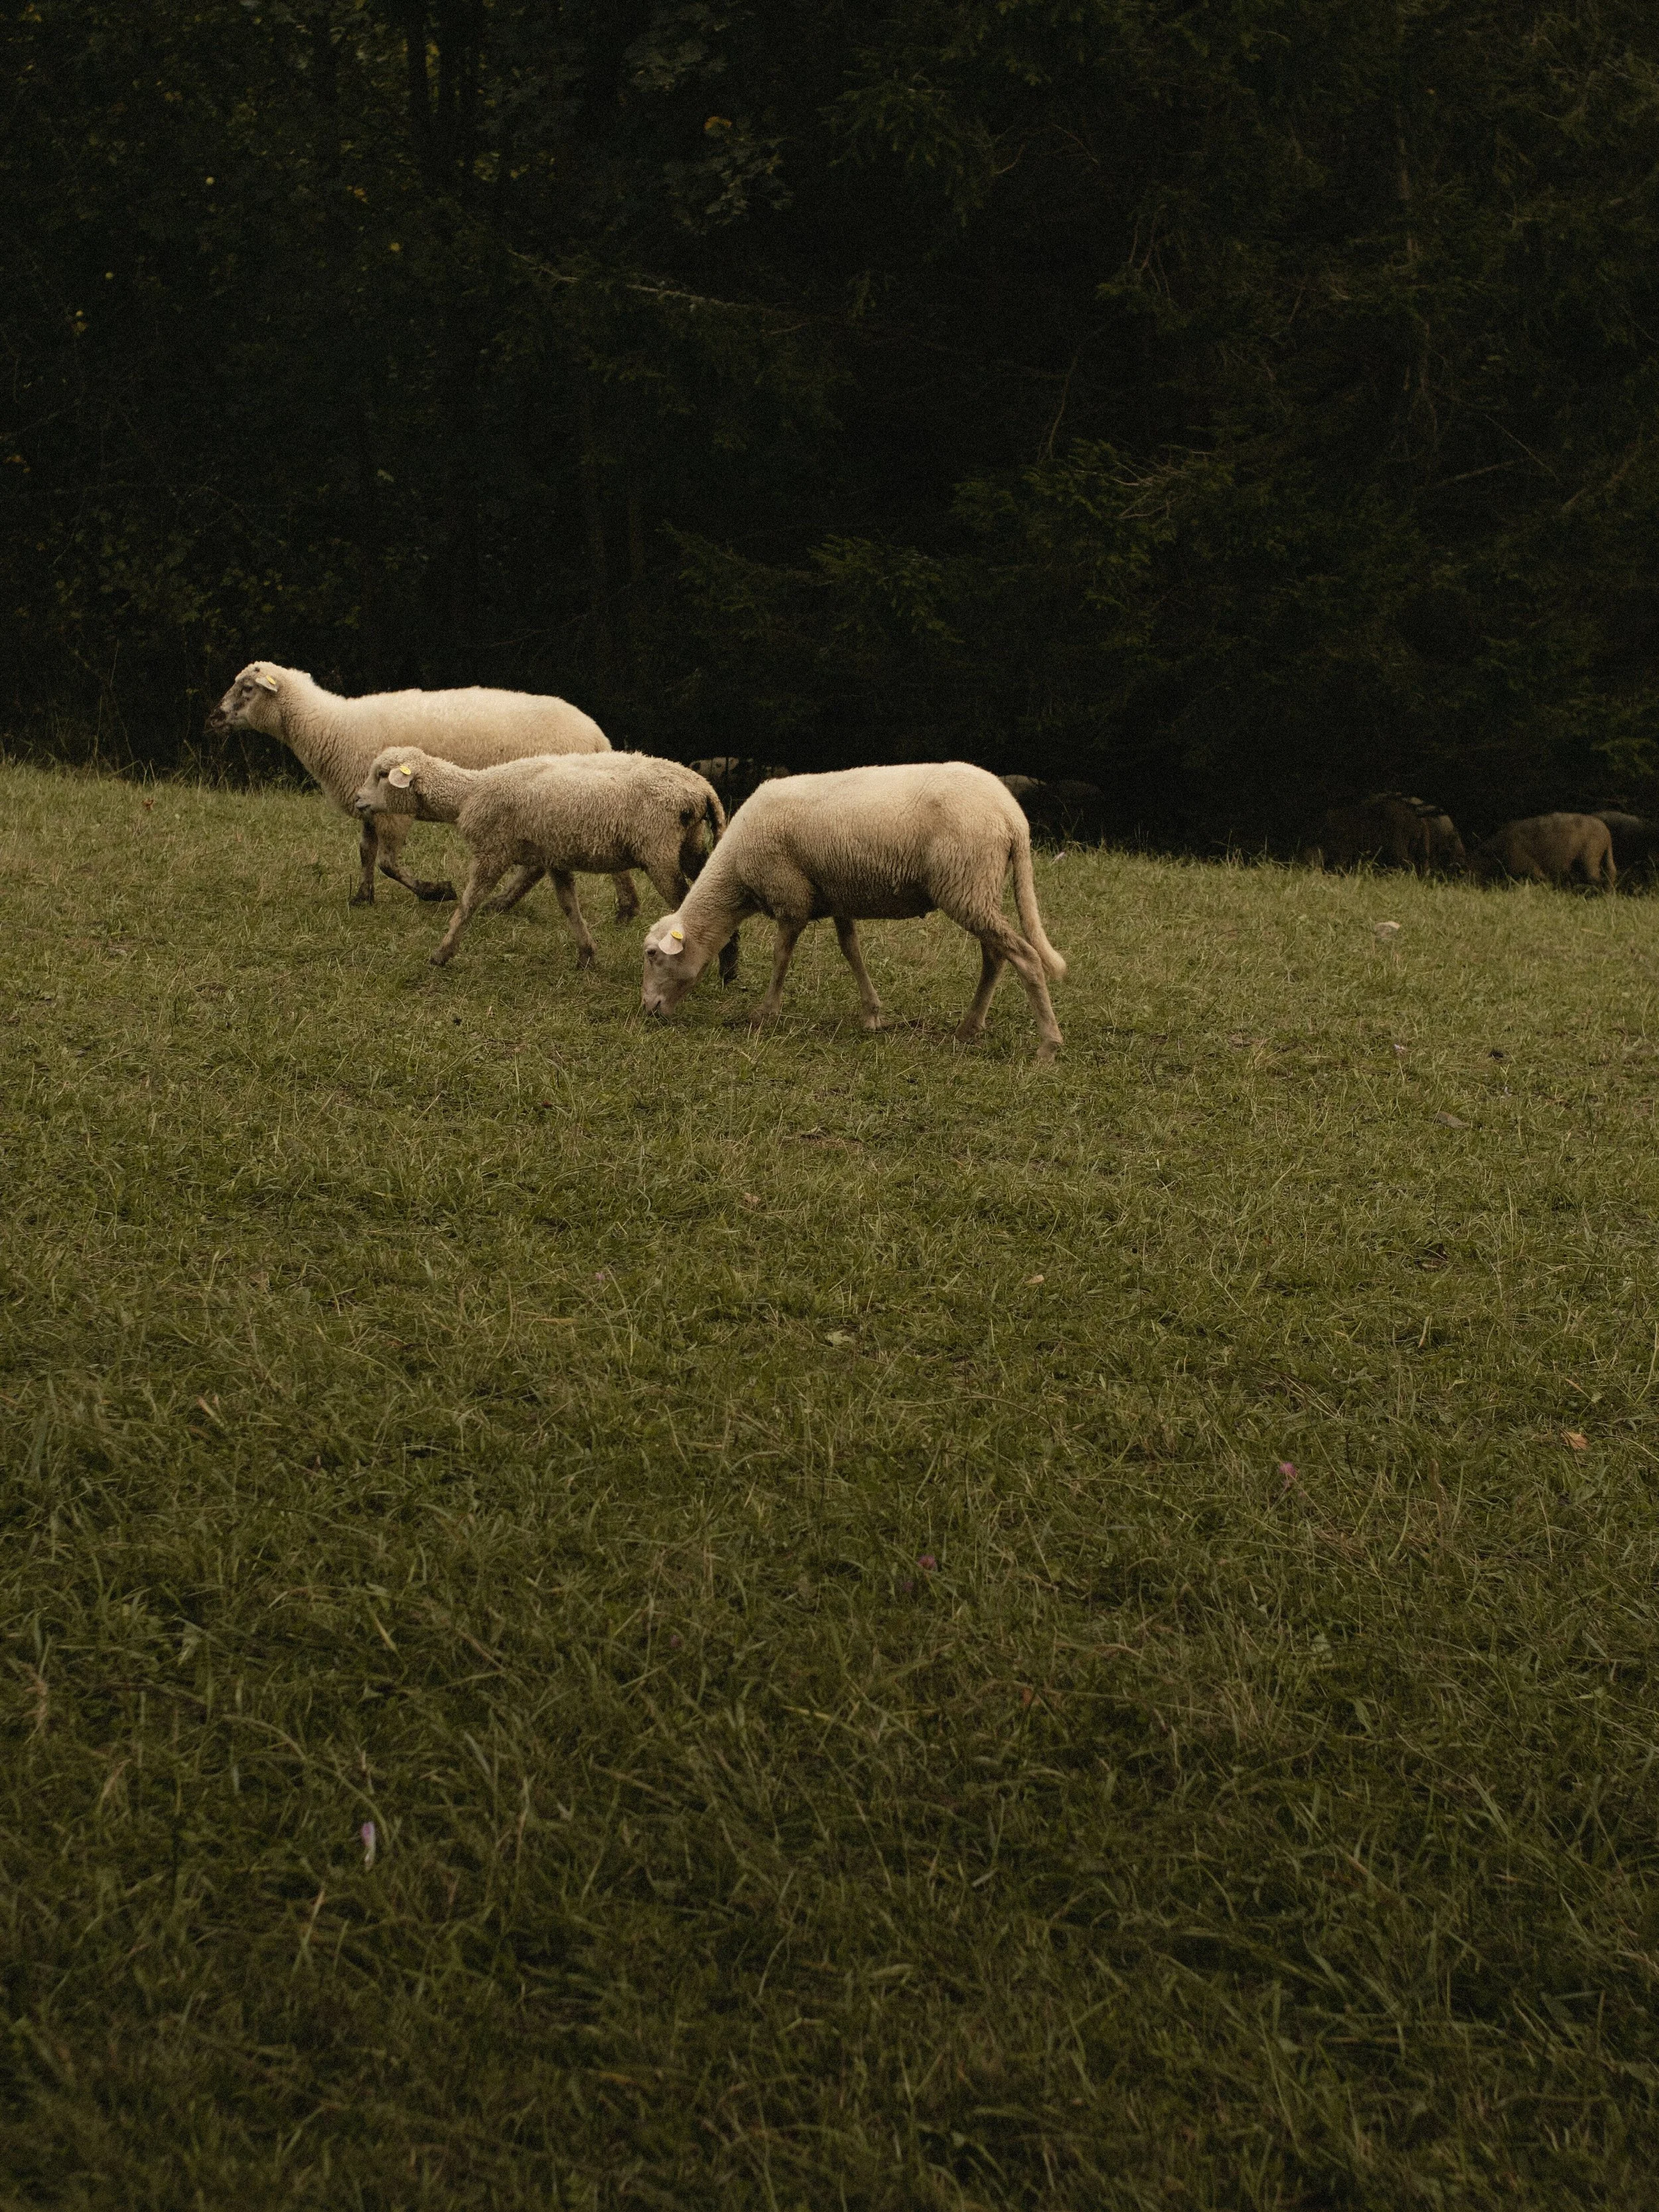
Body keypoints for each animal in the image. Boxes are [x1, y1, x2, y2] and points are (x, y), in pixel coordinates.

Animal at [208, 661, 639, 918]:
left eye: (247, 689)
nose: (212, 718)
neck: (329, 726)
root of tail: (596, 736)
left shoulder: (392, 809)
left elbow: (388, 862)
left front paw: (436, 891)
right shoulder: (369, 804)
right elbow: (366, 852)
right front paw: (363, 897)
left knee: (536, 864)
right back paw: (625, 906)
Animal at [352, 745, 740, 977]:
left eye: (382, 775)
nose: (357, 800)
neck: (468, 794)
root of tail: (703, 788)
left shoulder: (493, 853)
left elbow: (468, 904)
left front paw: (441, 954)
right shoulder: (555, 857)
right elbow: (570, 907)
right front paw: (586, 955)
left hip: (660, 852)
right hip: (691, 847)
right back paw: (729, 968)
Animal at [640, 762, 1067, 1059]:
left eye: (653, 955)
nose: (648, 1010)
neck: (737, 877)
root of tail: (1013, 817)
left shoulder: (790, 898)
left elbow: (781, 956)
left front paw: (765, 1014)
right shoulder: (836, 897)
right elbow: (852, 952)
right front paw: (872, 1015)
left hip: (966, 884)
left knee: (1026, 957)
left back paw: (1048, 1046)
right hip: (979, 888)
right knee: (995, 956)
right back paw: (969, 1028)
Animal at [1470, 813, 1616, 888]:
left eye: (1476, 862)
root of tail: (1606, 832)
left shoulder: (1529, 868)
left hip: (1589, 861)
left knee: (1599, 879)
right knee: (1611, 874)